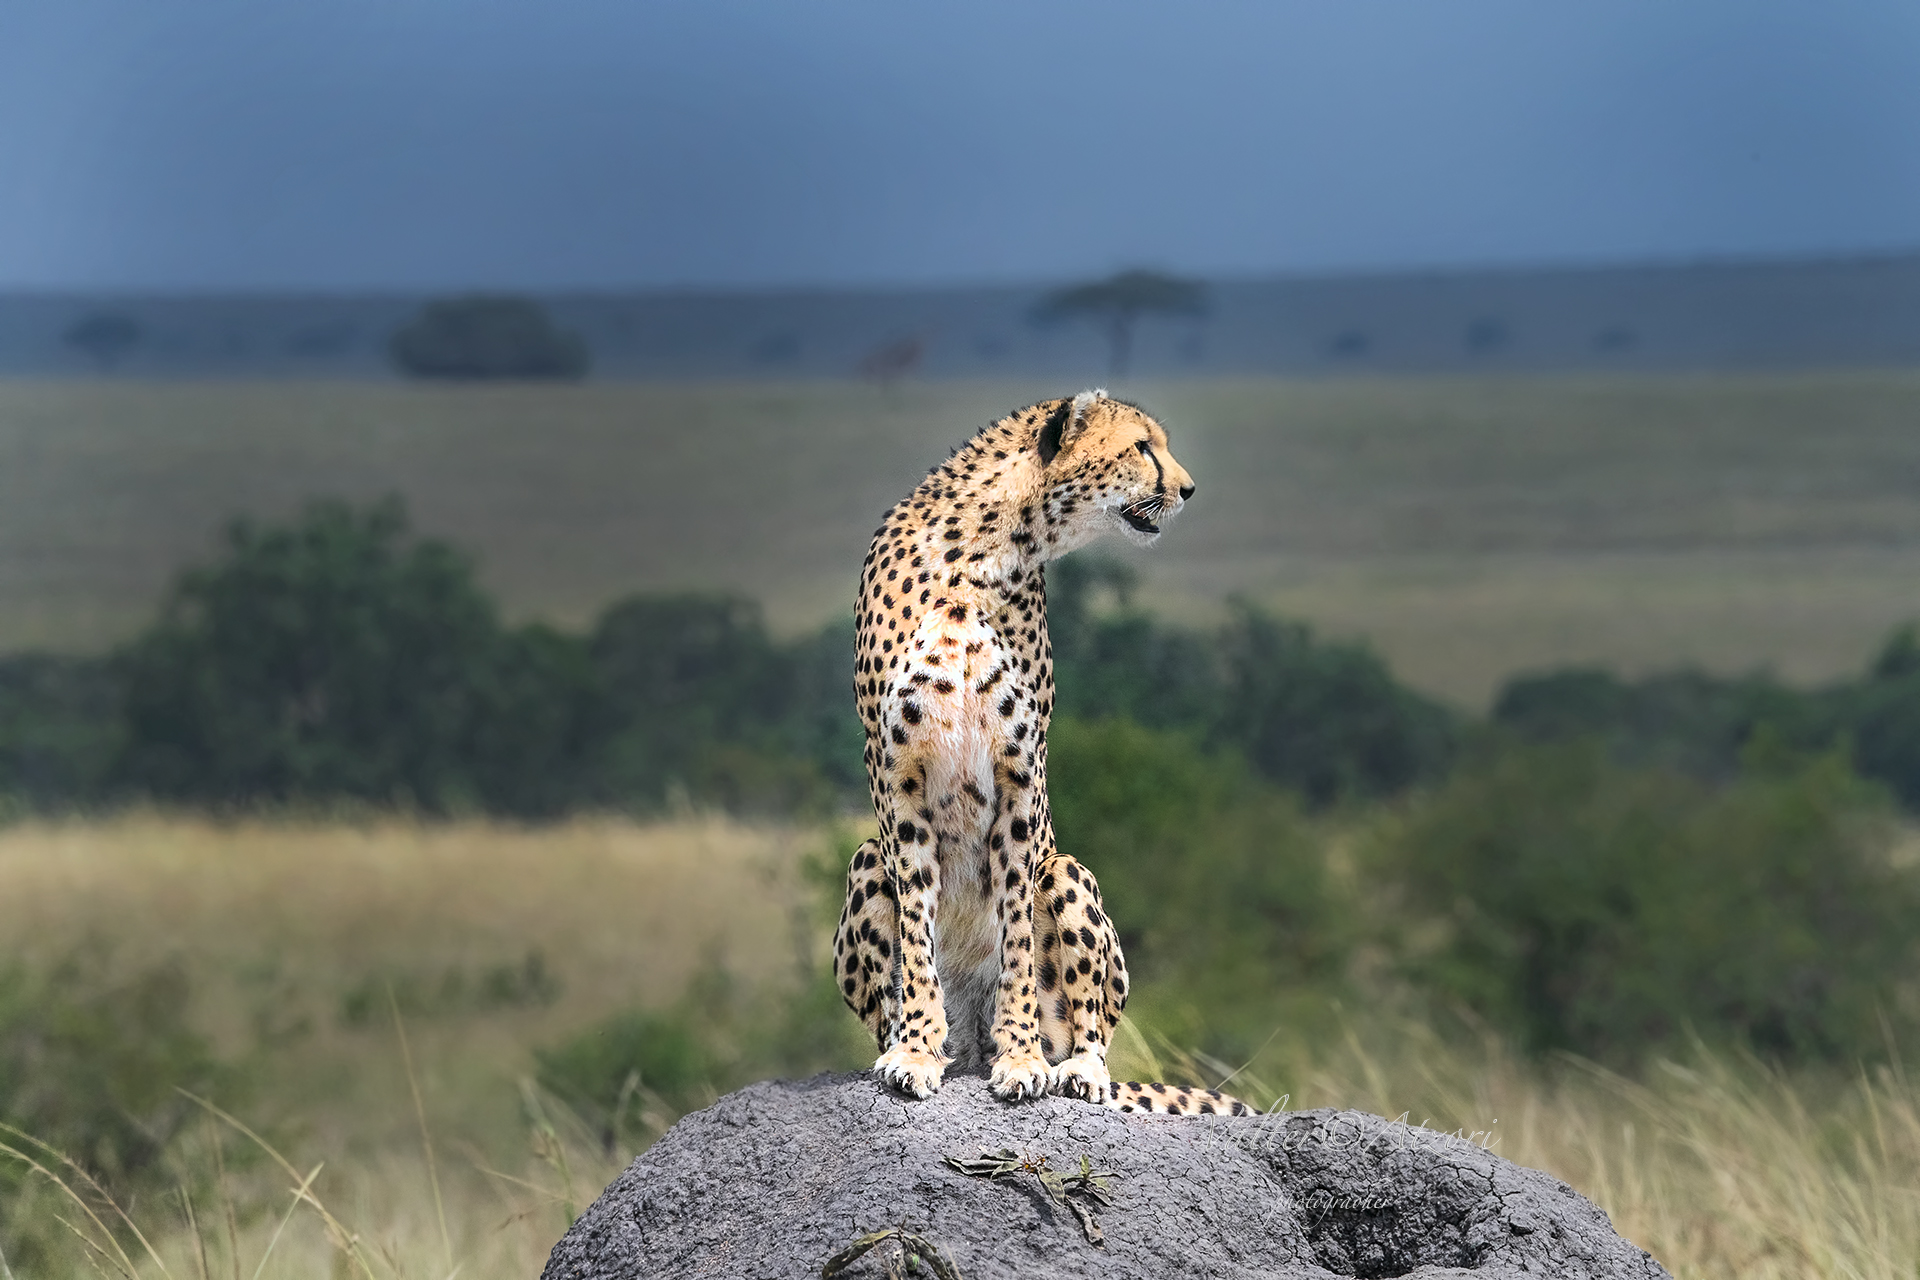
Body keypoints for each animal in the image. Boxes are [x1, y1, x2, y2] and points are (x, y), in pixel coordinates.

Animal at [832, 388, 1255, 1118]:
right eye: (1142, 446)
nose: (1188, 489)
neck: (984, 552)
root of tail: (970, 1047)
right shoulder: (898, 775)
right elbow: (915, 929)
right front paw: (913, 1051)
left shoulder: (1019, 775)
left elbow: (1018, 938)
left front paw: (1024, 1058)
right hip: (864, 864)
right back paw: (921, 1045)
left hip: (1068, 872)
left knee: (1093, 1029)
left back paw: (1074, 1068)